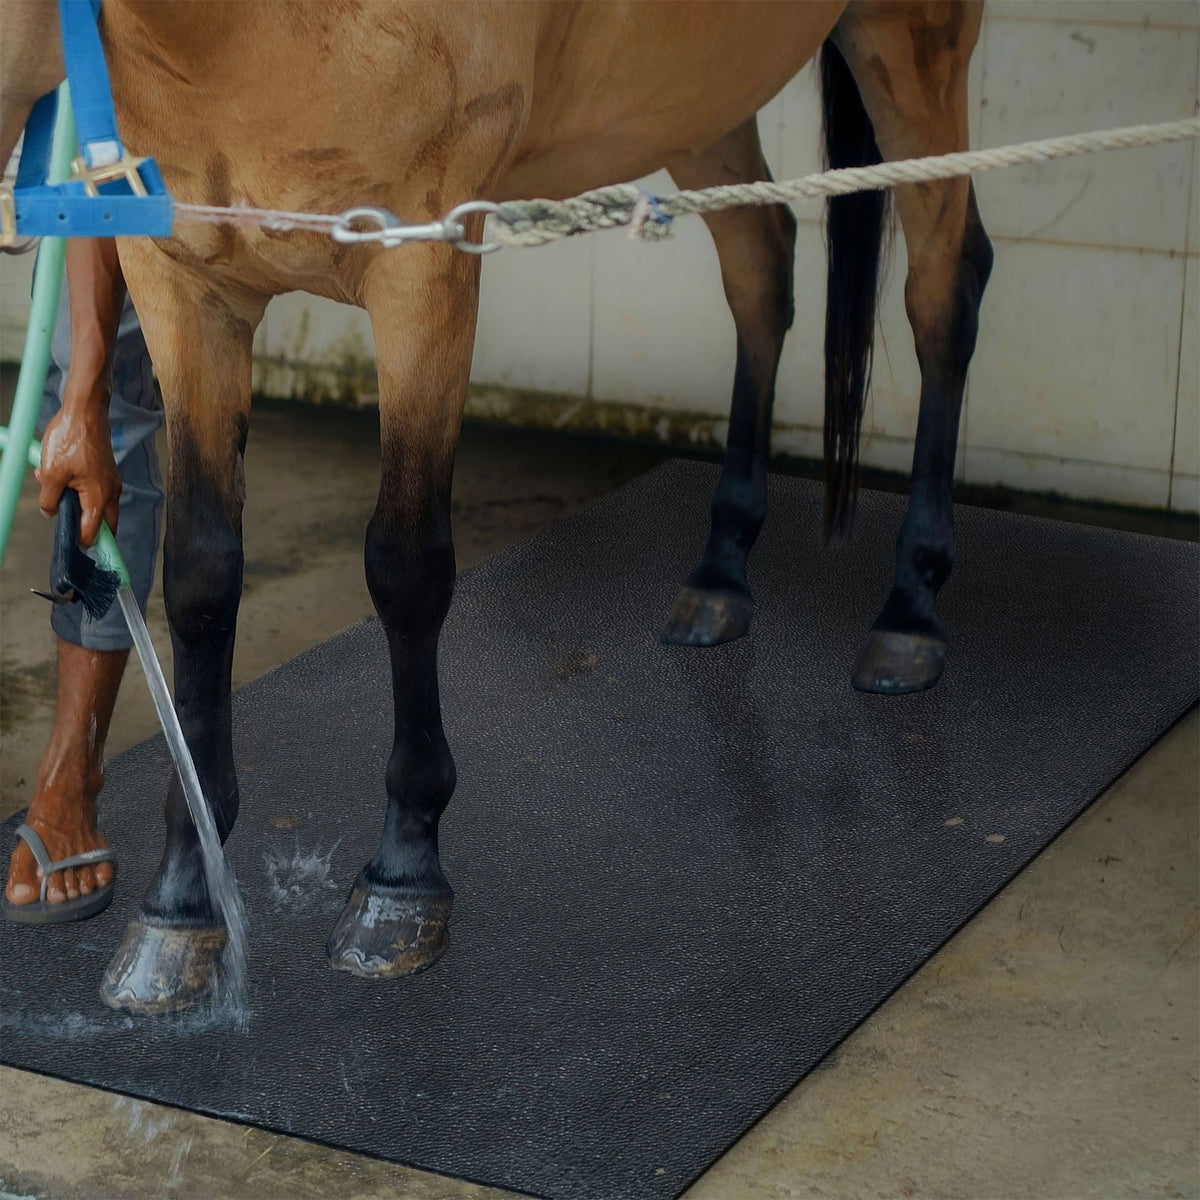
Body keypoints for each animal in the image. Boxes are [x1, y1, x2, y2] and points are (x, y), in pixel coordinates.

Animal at [0, 0, 992, 1012]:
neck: (234, 39)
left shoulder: (422, 272)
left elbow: (405, 568)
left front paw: (403, 876)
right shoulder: (184, 288)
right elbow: (201, 581)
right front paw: (183, 904)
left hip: (911, 45)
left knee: (944, 286)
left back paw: (910, 611)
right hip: (706, 95)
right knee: (764, 265)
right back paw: (720, 573)